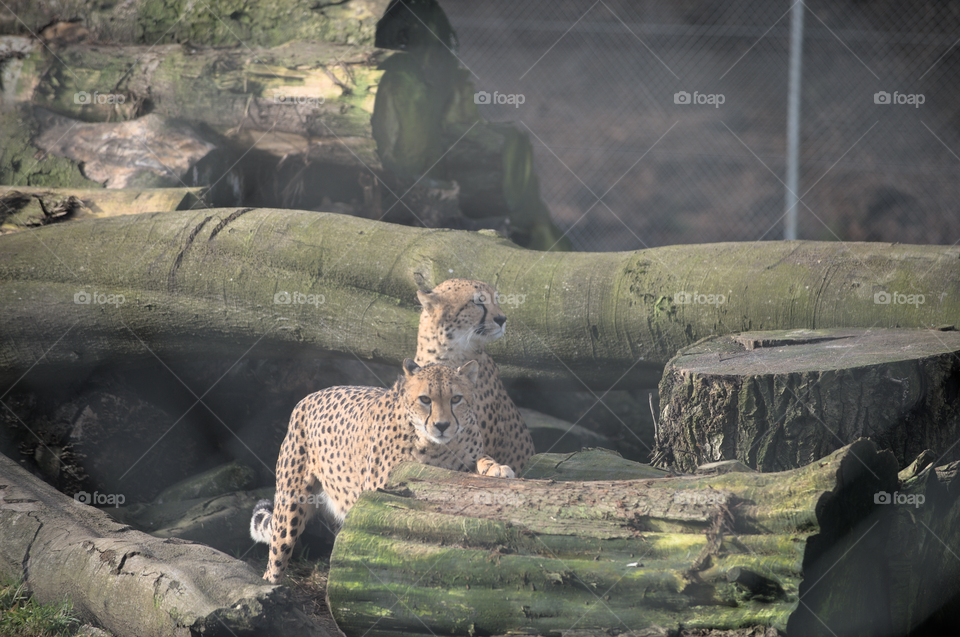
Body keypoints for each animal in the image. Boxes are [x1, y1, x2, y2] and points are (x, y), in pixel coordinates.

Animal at [250, 358, 513, 583]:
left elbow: (482, 459)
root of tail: (310, 396)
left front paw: (497, 469)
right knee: (277, 555)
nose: (442, 425)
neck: (437, 446)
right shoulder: (380, 489)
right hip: (291, 506)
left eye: (456, 398)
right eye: (425, 399)